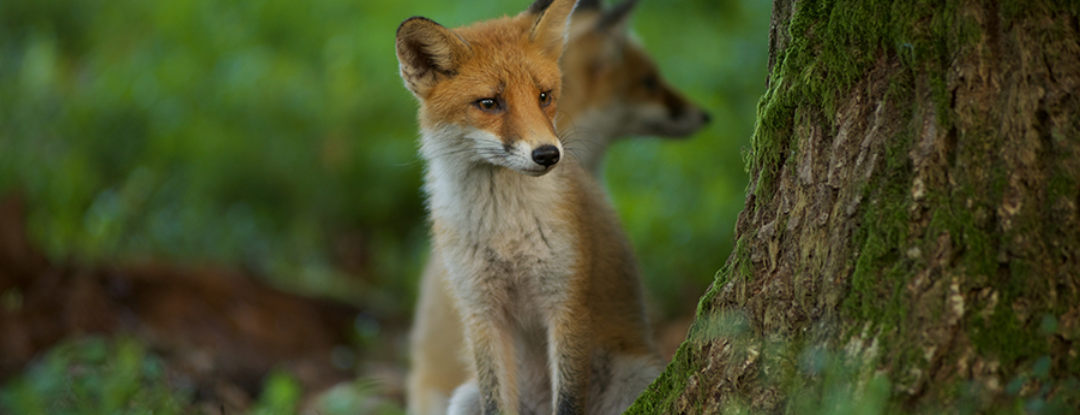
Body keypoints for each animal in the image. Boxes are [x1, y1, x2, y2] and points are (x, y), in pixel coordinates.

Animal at [406, 0, 708, 415]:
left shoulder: (566, 301)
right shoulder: (481, 313)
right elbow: (496, 402)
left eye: (544, 97)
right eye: (489, 103)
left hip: (635, 376)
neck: (505, 229)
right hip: (462, 397)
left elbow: (567, 399)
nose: (548, 154)